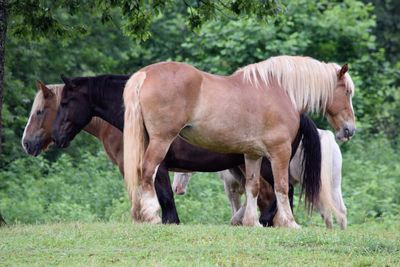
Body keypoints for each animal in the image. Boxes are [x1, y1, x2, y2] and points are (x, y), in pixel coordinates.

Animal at [51, 74, 322, 227]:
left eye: (65, 102)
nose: (56, 136)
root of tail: (297, 111)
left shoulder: (160, 166)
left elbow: (164, 195)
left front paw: (166, 220)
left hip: (268, 162)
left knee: (284, 190)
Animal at [123, 56, 354, 228]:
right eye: (347, 92)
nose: (349, 129)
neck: (280, 92)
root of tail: (146, 74)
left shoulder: (252, 154)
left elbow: (253, 186)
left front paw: (252, 222)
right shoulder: (279, 152)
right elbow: (281, 187)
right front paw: (290, 223)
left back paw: (139, 215)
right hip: (161, 140)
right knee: (147, 171)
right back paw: (151, 216)